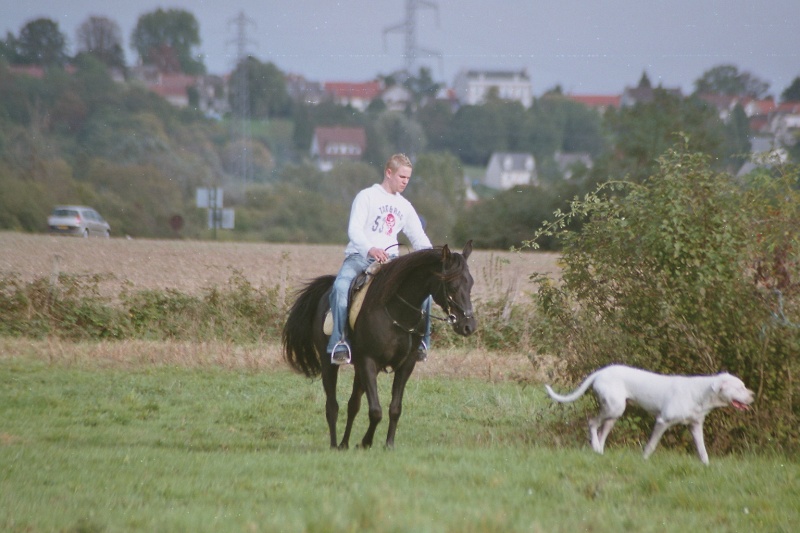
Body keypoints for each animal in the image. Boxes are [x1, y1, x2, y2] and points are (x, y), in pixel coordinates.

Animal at [284, 242, 478, 448]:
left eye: (470, 283)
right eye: (452, 285)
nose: (468, 326)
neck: (396, 312)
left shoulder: (405, 365)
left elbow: (394, 408)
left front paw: (388, 444)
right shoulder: (369, 362)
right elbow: (375, 410)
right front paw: (365, 442)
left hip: (359, 370)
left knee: (353, 405)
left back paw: (344, 444)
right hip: (329, 363)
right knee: (332, 406)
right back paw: (334, 445)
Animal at [548, 364, 752, 464]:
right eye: (739, 387)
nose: (752, 395)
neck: (701, 393)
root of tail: (600, 372)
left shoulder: (695, 426)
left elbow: (703, 451)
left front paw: (706, 466)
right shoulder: (662, 421)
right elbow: (652, 445)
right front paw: (644, 460)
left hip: (614, 414)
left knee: (601, 432)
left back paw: (598, 451)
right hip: (614, 408)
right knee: (591, 423)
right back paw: (596, 447)